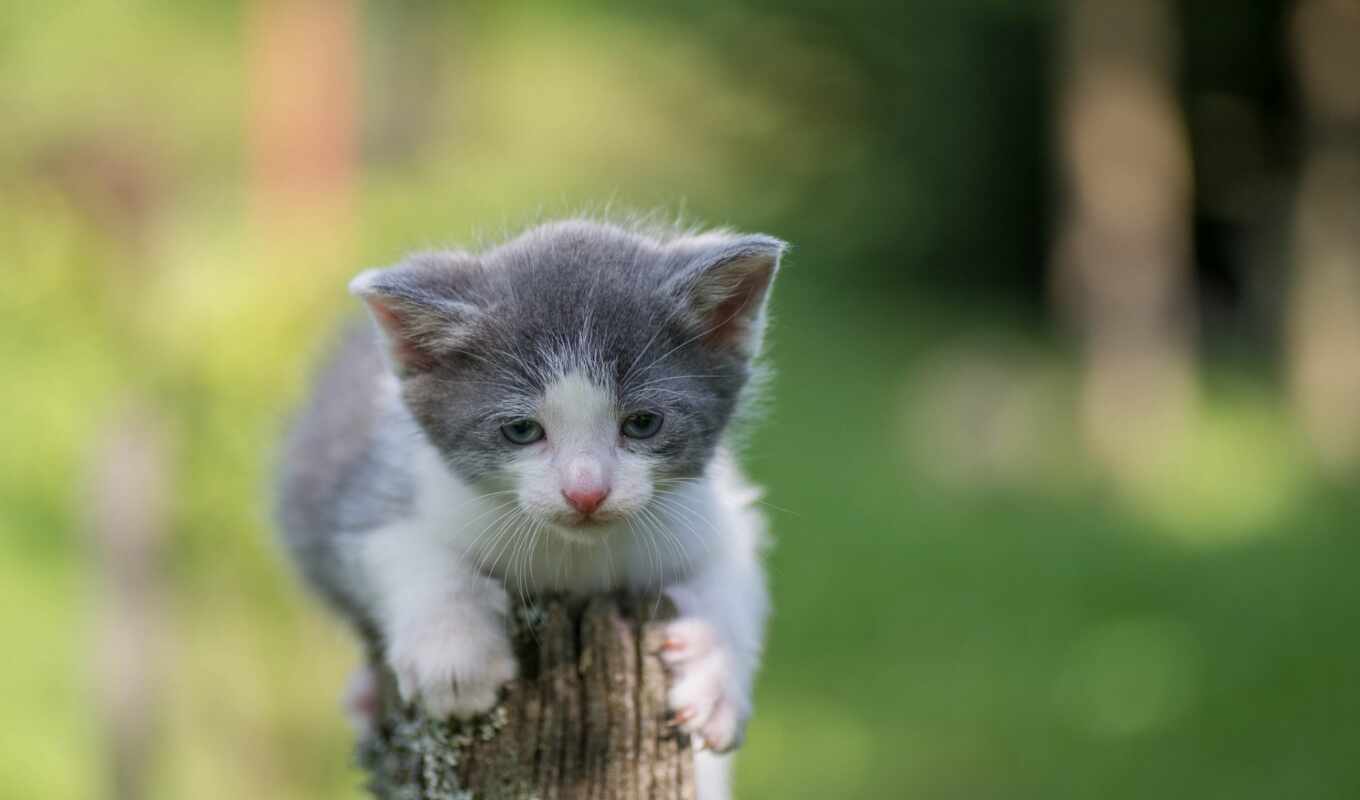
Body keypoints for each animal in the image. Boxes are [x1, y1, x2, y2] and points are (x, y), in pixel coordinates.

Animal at [276, 219, 783, 800]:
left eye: (642, 423)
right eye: (521, 430)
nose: (586, 493)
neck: (577, 559)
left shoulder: (717, 513)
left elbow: (735, 578)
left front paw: (715, 678)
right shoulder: (377, 487)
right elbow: (402, 547)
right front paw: (455, 656)